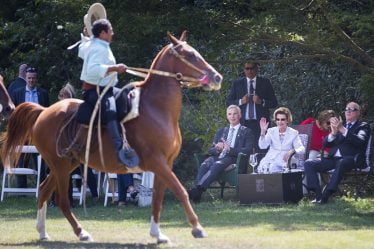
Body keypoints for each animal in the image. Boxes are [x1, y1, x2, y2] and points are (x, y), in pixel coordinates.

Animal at [1, 31, 222, 243]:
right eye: (190, 55)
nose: (216, 77)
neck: (156, 109)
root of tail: (43, 111)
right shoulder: (157, 162)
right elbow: (180, 191)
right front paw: (197, 228)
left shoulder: (166, 163)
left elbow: (158, 199)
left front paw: (157, 234)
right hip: (60, 166)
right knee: (62, 200)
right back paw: (81, 232)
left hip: (65, 165)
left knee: (44, 191)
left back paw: (43, 232)